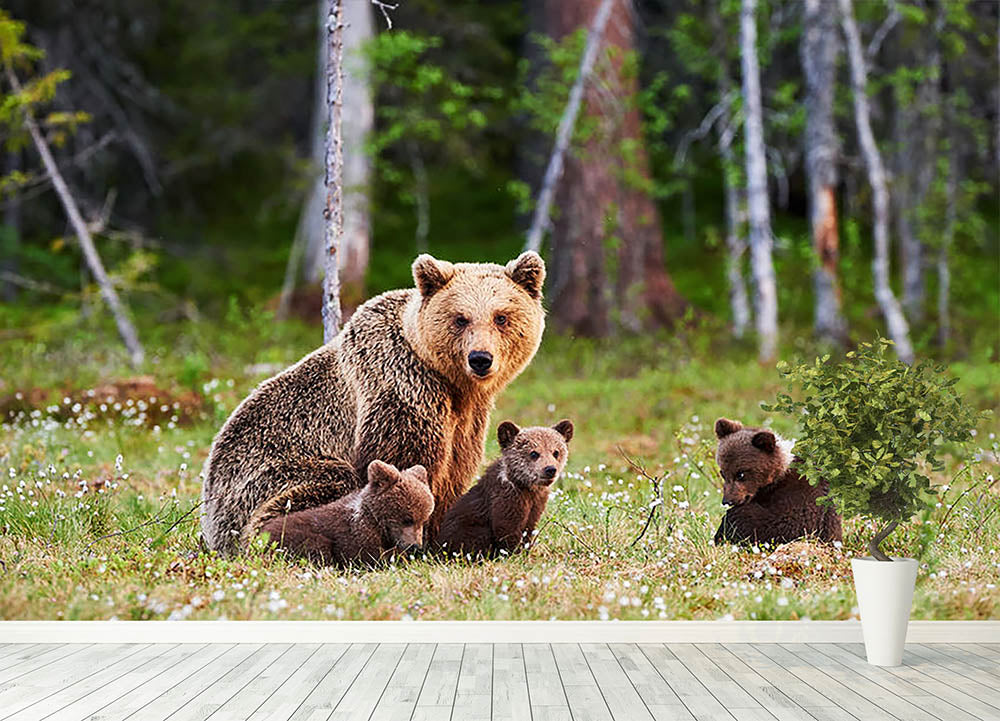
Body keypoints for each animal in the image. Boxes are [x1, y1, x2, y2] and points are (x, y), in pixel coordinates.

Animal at [200, 251, 546, 554]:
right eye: (460, 318)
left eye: (501, 317)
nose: (480, 359)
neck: (450, 381)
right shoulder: (400, 387)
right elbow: (403, 462)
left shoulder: (467, 419)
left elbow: (454, 471)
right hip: (265, 478)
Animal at [436, 419, 573, 558]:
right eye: (534, 453)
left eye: (556, 452)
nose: (550, 469)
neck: (525, 486)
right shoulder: (506, 500)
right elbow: (506, 530)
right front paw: (514, 554)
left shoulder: (536, 504)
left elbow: (528, 529)